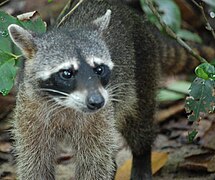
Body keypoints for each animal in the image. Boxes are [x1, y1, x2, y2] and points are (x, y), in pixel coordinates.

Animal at [7, 0, 215, 180]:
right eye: (67, 73)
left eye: (99, 69)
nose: (97, 101)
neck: (64, 104)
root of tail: (139, 20)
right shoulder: (30, 111)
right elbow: (34, 161)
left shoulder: (99, 118)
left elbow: (94, 162)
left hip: (144, 68)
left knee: (139, 124)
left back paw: (142, 156)